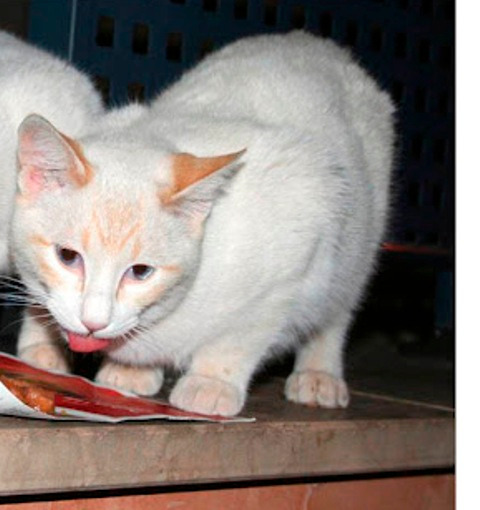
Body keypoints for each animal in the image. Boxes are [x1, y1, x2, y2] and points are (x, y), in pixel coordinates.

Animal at [10, 30, 394, 414]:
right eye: (67, 256)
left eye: (141, 272)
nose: (93, 323)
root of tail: (310, 40)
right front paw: (131, 369)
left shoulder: (293, 250)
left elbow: (239, 336)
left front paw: (211, 382)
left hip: (358, 242)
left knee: (338, 306)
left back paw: (318, 372)